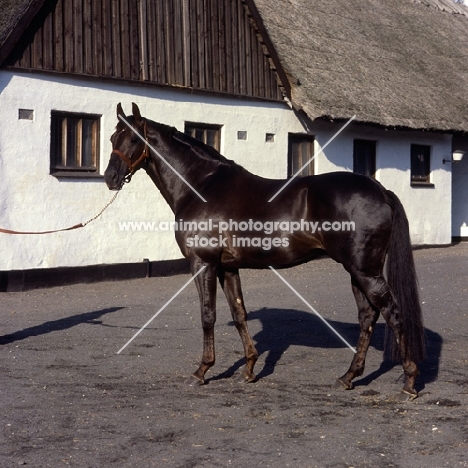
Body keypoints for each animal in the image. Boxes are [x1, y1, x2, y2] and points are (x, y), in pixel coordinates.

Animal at [104, 103, 426, 398]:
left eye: (133, 138)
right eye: (112, 138)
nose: (110, 177)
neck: (202, 186)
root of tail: (380, 191)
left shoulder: (203, 263)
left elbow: (208, 315)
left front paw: (202, 371)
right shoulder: (228, 267)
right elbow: (239, 313)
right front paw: (248, 368)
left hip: (364, 270)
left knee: (392, 313)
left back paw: (409, 382)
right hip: (357, 270)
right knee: (368, 316)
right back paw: (348, 377)